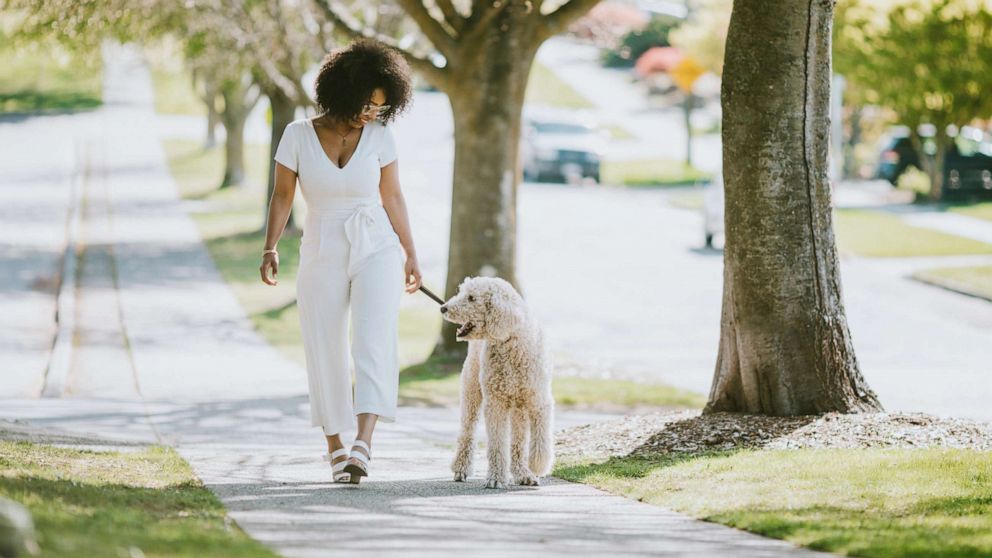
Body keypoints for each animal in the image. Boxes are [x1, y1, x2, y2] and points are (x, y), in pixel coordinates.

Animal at [440, 278, 556, 488]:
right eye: (461, 292)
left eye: (472, 298)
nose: (443, 308)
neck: (510, 340)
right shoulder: (495, 404)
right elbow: (497, 444)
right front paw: (495, 478)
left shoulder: (539, 401)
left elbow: (541, 439)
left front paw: (537, 465)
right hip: (471, 392)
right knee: (467, 432)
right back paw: (461, 468)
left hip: (519, 407)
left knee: (519, 441)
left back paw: (523, 473)